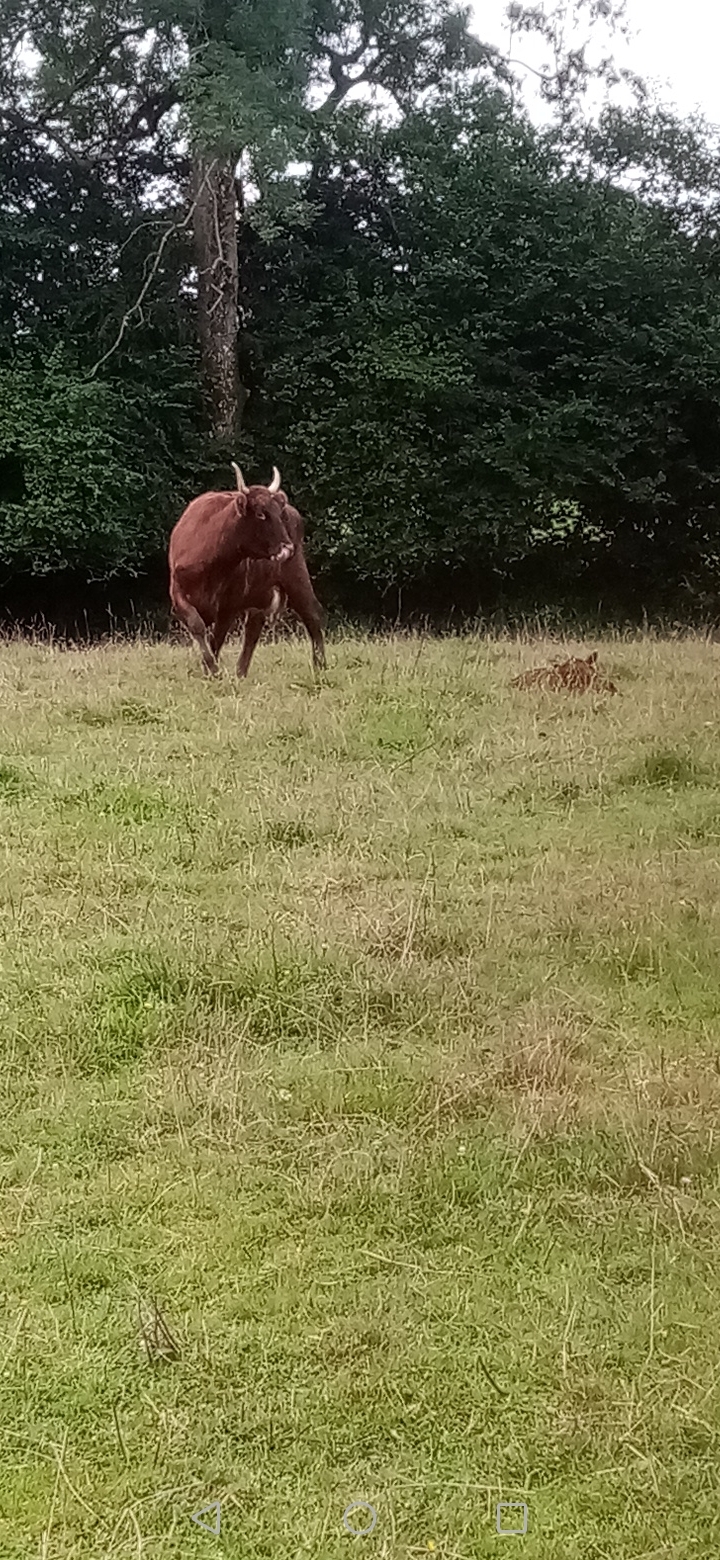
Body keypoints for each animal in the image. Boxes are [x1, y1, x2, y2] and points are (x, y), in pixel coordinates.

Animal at [169, 458, 325, 673]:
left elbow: (217, 637)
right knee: (253, 628)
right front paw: (210, 667)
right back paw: (240, 672)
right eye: (260, 514)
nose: (287, 548)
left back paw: (320, 666)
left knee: (312, 615)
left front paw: (212, 669)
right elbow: (197, 625)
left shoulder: (229, 604)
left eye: (278, 514)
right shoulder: (178, 593)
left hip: (296, 576)